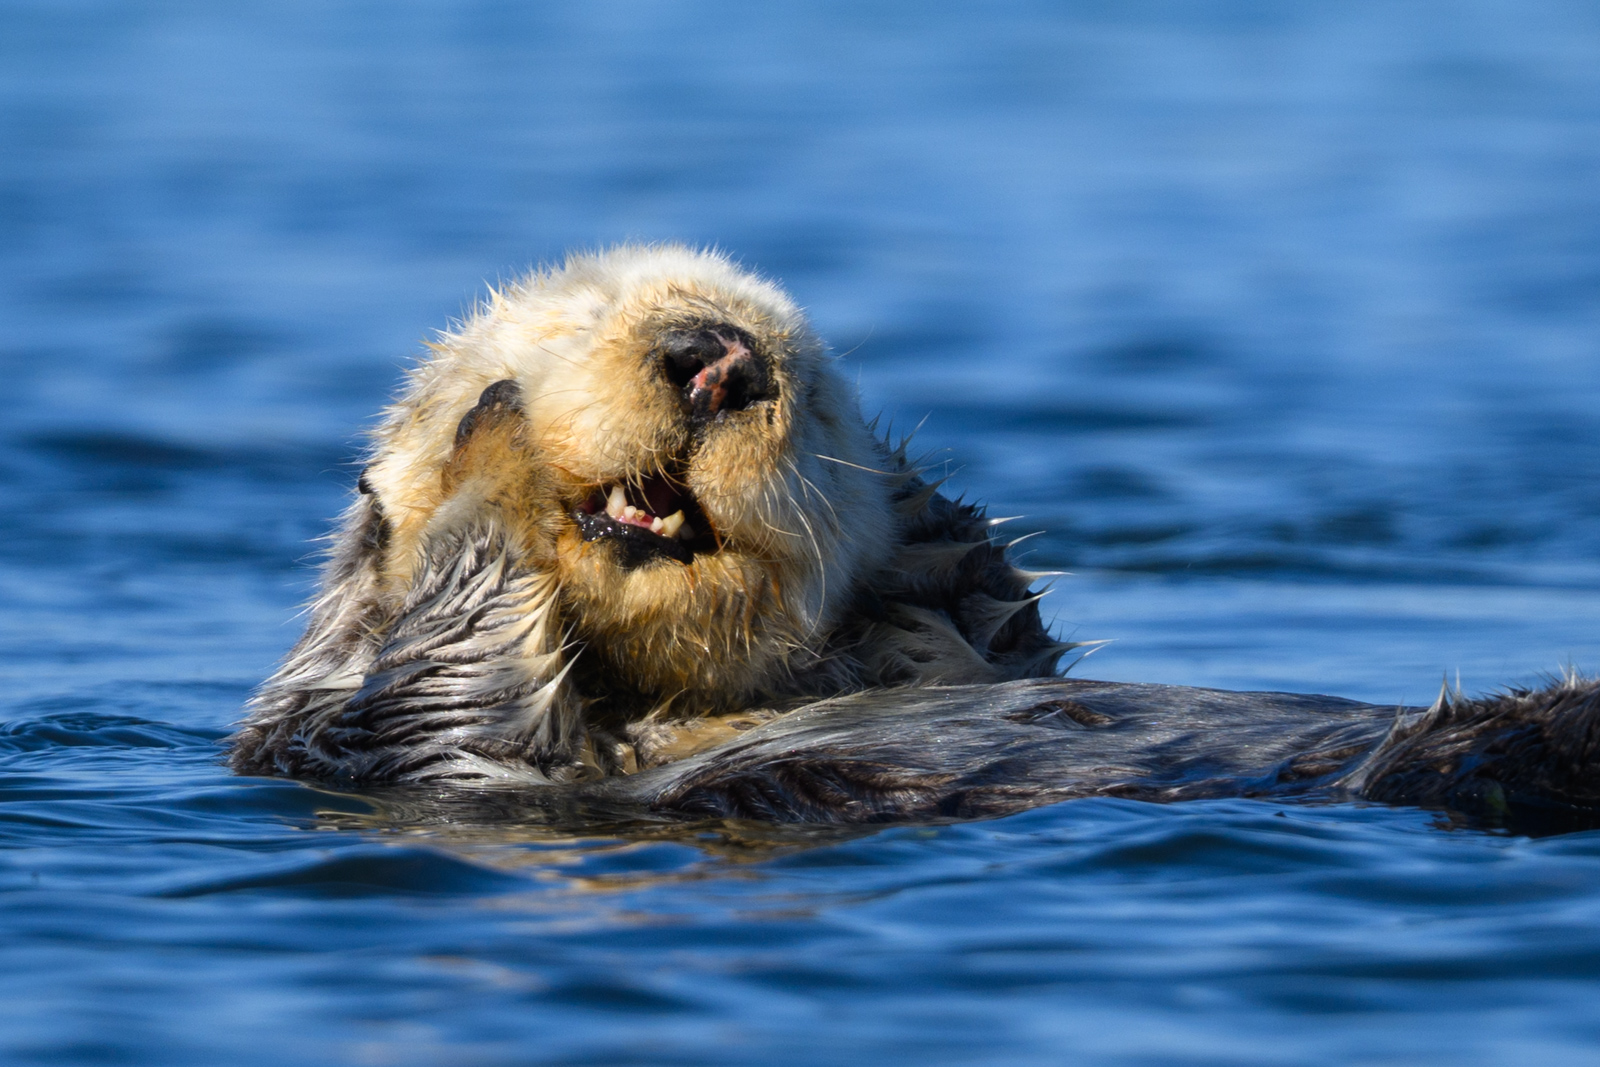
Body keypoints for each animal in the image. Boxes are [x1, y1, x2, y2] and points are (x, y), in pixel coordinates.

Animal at [231, 245, 1600, 832]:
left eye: (820, 398)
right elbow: (432, 689)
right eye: (567, 329)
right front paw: (491, 447)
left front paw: (952, 546)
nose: (717, 358)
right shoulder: (345, 740)